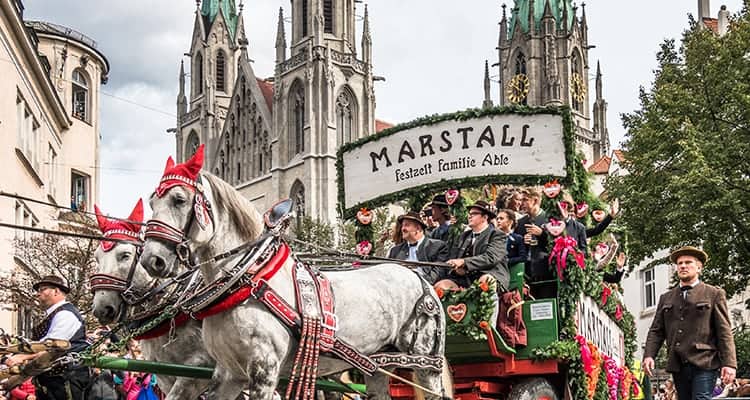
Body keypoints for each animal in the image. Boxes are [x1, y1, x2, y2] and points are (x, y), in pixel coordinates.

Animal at [138, 148, 450, 400]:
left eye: (179, 200)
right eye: (153, 202)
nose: (152, 260)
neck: (247, 279)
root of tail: (420, 278)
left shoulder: (263, 372)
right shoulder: (228, 373)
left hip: (425, 361)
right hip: (377, 363)